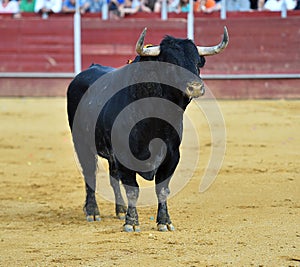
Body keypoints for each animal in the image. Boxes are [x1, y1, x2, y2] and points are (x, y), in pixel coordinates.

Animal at [67, 27, 229, 232]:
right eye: (170, 64)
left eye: (197, 63)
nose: (195, 87)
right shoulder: (124, 155)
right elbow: (132, 190)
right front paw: (132, 223)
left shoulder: (172, 155)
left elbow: (162, 189)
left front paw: (164, 221)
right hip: (82, 144)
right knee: (90, 174)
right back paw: (92, 211)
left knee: (113, 178)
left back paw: (120, 209)